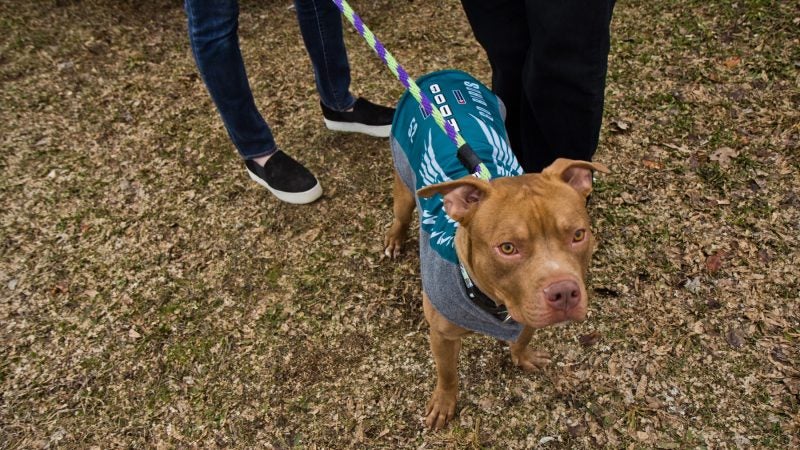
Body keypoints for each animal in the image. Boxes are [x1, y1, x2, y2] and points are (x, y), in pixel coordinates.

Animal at [384, 70, 608, 428]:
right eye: (507, 247)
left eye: (578, 235)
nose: (563, 293)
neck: (491, 302)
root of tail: (441, 74)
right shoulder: (442, 335)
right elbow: (447, 374)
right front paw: (444, 403)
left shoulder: (526, 308)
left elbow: (524, 335)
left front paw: (523, 356)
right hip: (404, 180)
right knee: (401, 213)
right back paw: (394, 238)